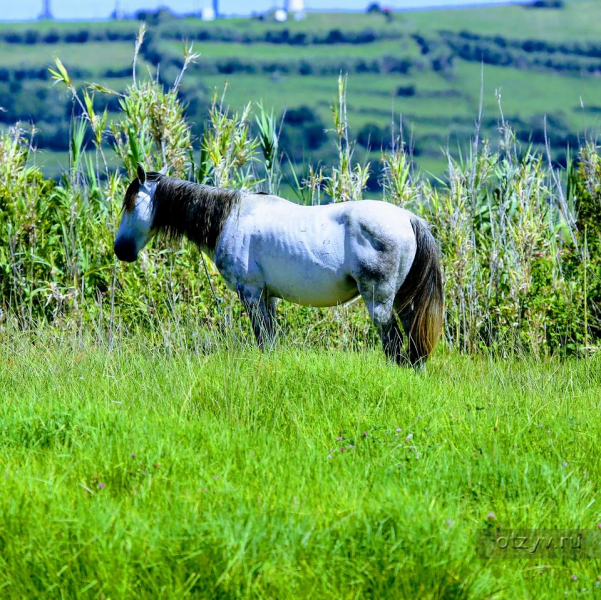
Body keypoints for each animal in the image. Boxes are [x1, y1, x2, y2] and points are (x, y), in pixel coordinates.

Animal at [115, 166, 442, 368]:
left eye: (130, 204)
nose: (121, 250)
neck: (229, 219)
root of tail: (409, 219)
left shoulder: (251, 293)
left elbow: (262, 337)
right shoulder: (267, 296)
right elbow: (271, 339)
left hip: (379, 300)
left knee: (394, 344)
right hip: (403, 301)